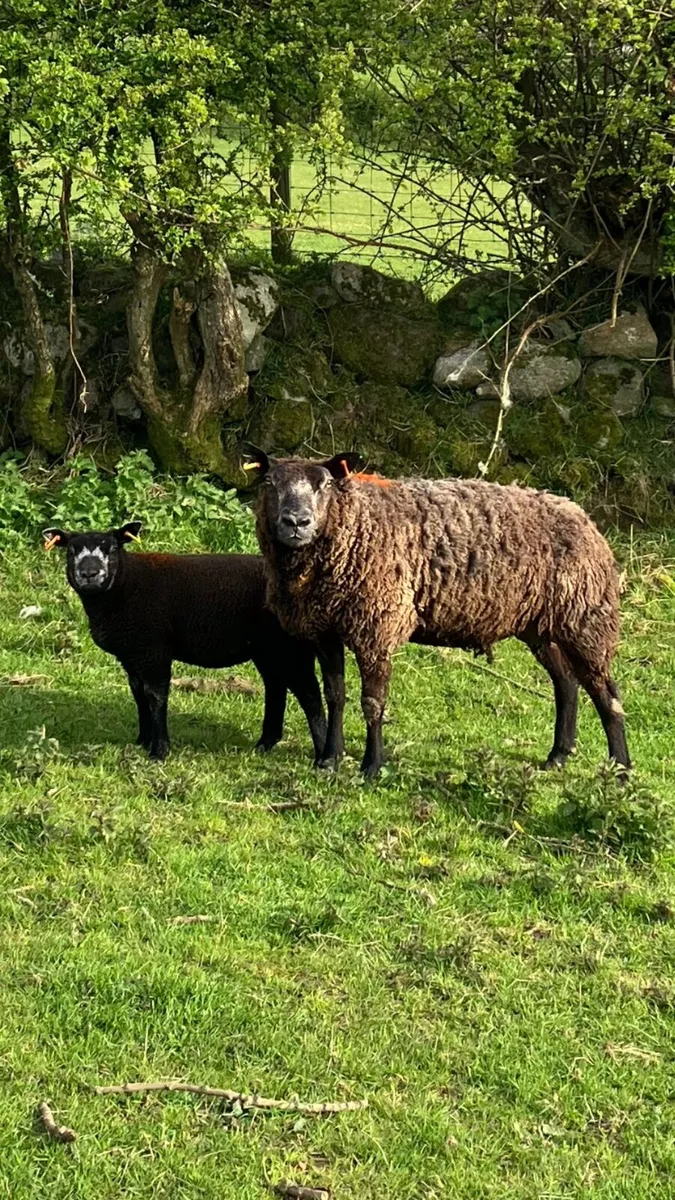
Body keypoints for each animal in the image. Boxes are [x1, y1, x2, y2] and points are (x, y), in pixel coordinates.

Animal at [42, 522, 326, 762]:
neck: (123, 585)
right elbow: (138, 693)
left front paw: (159, 751)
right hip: (267, 649)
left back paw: (322, 754)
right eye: (71, 551)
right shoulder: (132, 654)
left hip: (291, 648)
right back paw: (266, 743)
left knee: (309, 694)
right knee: (276, 686)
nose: (89, 573)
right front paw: (142, 740)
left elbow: (155, 695)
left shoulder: (154, 649)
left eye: (111, 549)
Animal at [247, 448, 631, 778]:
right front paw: (329, 759)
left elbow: (373, 703)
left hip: (584, 619)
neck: (355, 526)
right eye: (269, 483)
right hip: (541, 626)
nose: (296, 522)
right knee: (566, 684)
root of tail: (583, 517)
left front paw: (371, 766)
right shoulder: (324, 630)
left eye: (325, 485)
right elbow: (335, 696)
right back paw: (558, 756)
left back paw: (621, 771)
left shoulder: (377, 626)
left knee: (606, 694)